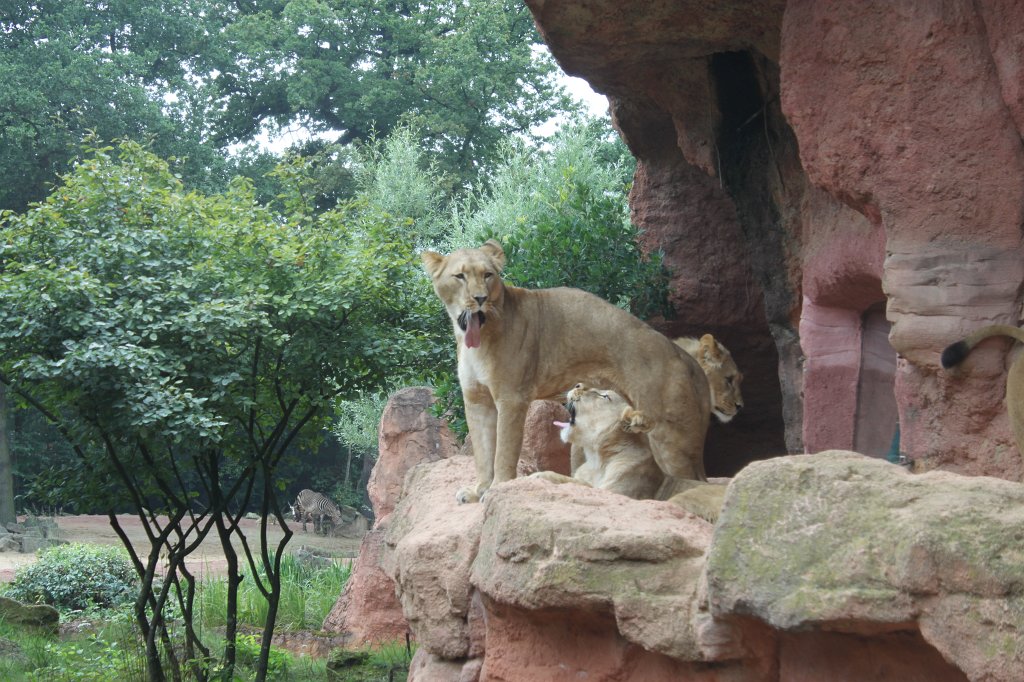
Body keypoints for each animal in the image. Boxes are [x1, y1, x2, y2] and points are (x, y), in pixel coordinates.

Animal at [421, 240, 711, 503]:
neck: (476, 339)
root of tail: (687, 359)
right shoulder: (477, 399)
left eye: (488, 275)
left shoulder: (512, 398)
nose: (480, 299)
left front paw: (497, 488)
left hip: (670, 441)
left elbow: (503, 450)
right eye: (460, 276)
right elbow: (482, 452)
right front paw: (478, 490)